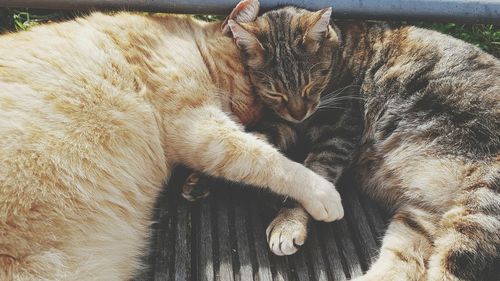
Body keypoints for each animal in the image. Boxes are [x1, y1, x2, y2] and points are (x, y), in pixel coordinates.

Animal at [0, 1, 344, 278]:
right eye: (259, 87)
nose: (254, 117)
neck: (187, 40)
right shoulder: (197, 126)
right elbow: (266, 159)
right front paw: (323, 193)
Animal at [186, 1, 498, 278]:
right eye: (275, 92)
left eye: (311, 84)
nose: (299, 113)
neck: (341, 49)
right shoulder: (282, 123)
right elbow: (254, 145)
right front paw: (203, 177)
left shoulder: (338, 132)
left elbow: (313, 175)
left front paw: (288, 222)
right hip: (420, 217)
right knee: (403, 265)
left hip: (481, 207)